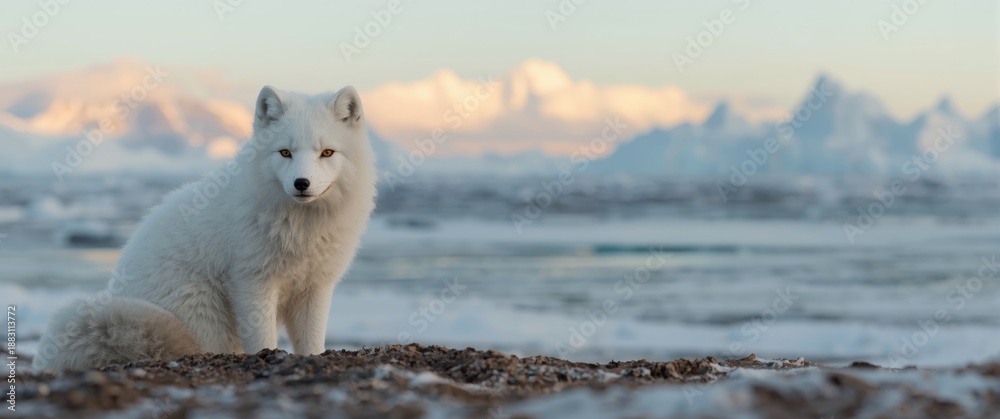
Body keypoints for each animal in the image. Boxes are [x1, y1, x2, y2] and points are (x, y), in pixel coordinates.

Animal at [33, 85, 378, 371]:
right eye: (285, 152)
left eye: (327, 152)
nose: (301, 183)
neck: (303, 229)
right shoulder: (252, 281)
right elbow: (262, 337)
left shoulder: (316, 285)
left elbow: (312, 342)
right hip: (204, 312)